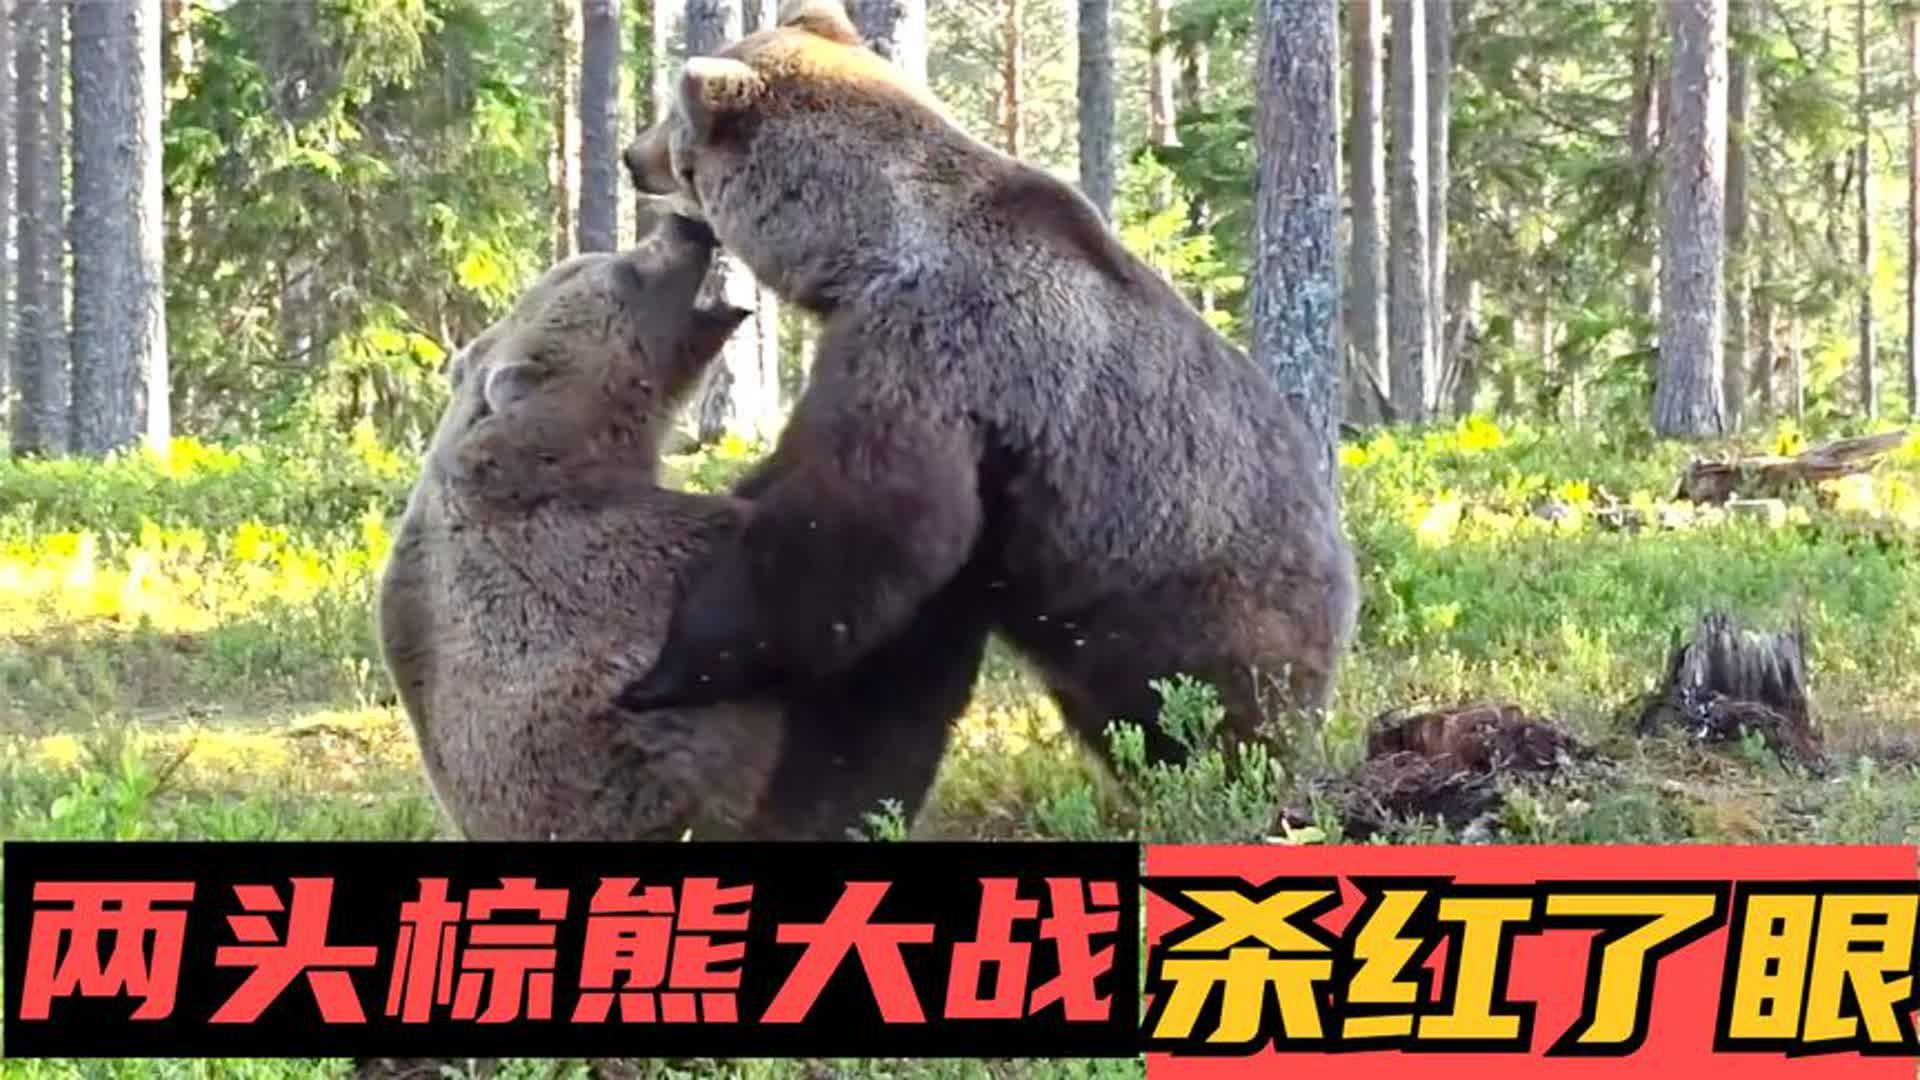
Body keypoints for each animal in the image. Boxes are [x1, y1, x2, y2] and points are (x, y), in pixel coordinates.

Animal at [612, 0, 1360, 768]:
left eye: (670, 119)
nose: (631, 155)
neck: (861, 249)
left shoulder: (937, 348)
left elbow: (863, 518)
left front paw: (666, 669)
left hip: (1195, 600)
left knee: (1200, 719)